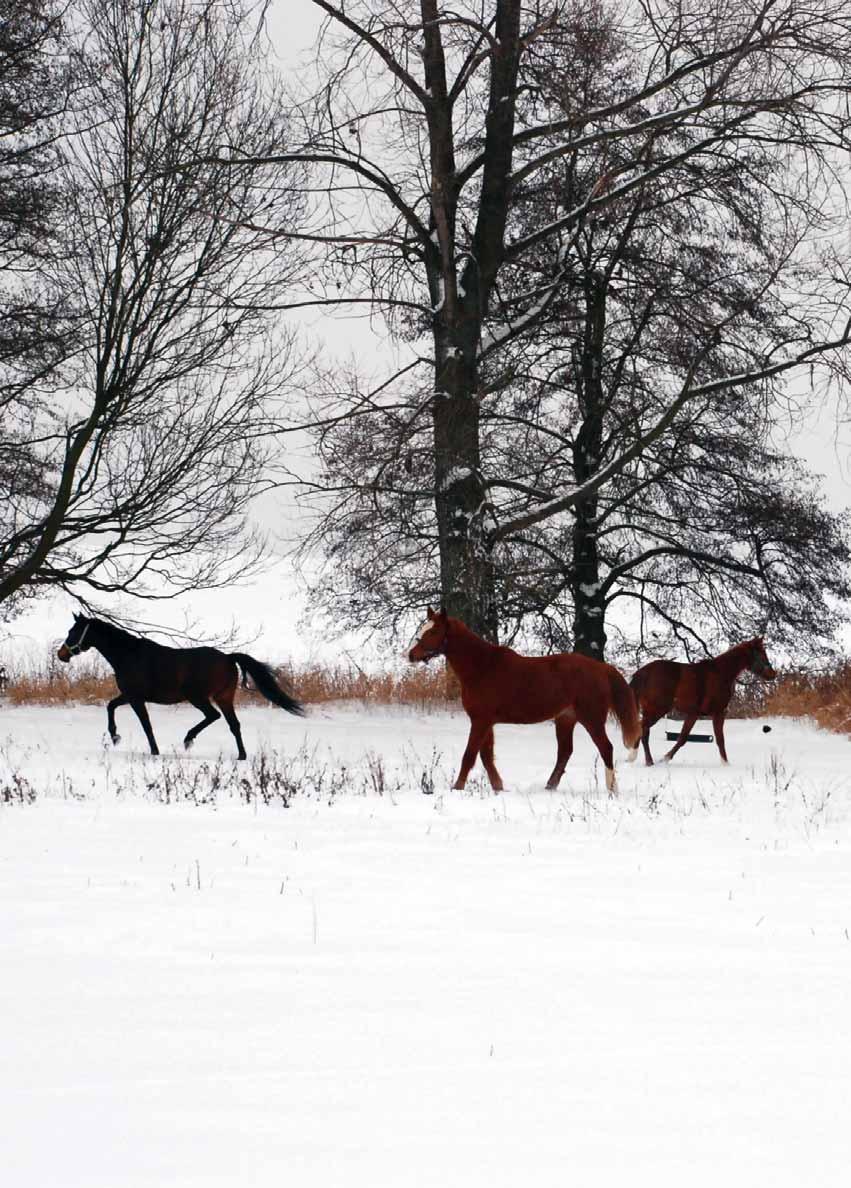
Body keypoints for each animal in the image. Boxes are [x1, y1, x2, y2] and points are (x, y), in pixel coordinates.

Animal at [57, 613, 303, 760]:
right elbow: (111, 706)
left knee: (213, 716)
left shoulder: (136, 698)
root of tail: (228, 658)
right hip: (224, 698)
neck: (128, 655)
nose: (61, 654)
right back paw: (241, 755)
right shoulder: (128, 695)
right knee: (234, 725)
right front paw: (115, 736)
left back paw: (188, 739)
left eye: (73, 631)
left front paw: (153, 751)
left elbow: (145, 725)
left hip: (199, 697)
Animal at [408, 608, 641, 793]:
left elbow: (470, 755)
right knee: (565, 752)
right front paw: (499, 787)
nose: (411, 655)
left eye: (433, 631)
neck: (482, 667)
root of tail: (602, 669)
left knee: (606, 748)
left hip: (591, 719)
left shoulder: (481, 720)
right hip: (566, 719)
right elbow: (486, 756)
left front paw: (457, 788)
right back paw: (550, 787)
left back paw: (612, 790)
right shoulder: (486, 721)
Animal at [627, 636, 774, 765]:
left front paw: (665, 759)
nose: (773, 674)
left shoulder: (693, 714)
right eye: (762, 654)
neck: (721, 673)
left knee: (641, 729)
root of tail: (643, 673)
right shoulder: (718, 713)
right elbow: (720, 739)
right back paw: (644, 760)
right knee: (643, 729)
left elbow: (682, 738)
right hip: (656, 710)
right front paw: (726, 764)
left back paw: (635, 758)